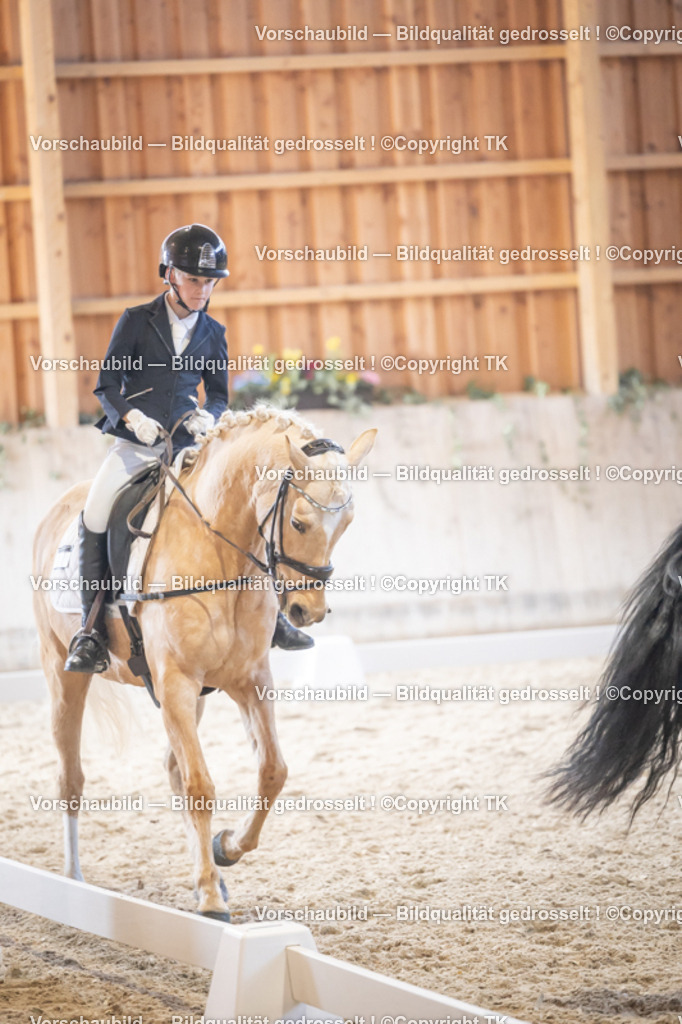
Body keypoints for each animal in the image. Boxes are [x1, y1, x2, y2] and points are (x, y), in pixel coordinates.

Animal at [32, 404, 376, 920]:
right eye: (298, 523)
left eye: (348, 523)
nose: (306, 613)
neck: (221, 553)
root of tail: (54, 510)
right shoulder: (175, 681)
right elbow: (200, 785)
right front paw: (212, 900)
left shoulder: (250, 681)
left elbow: (272, 772)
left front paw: (225, 850)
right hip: (62, 671)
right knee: (70, 776)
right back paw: (74, 882)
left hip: (192, 697)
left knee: (172, 770)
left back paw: (206, 873)